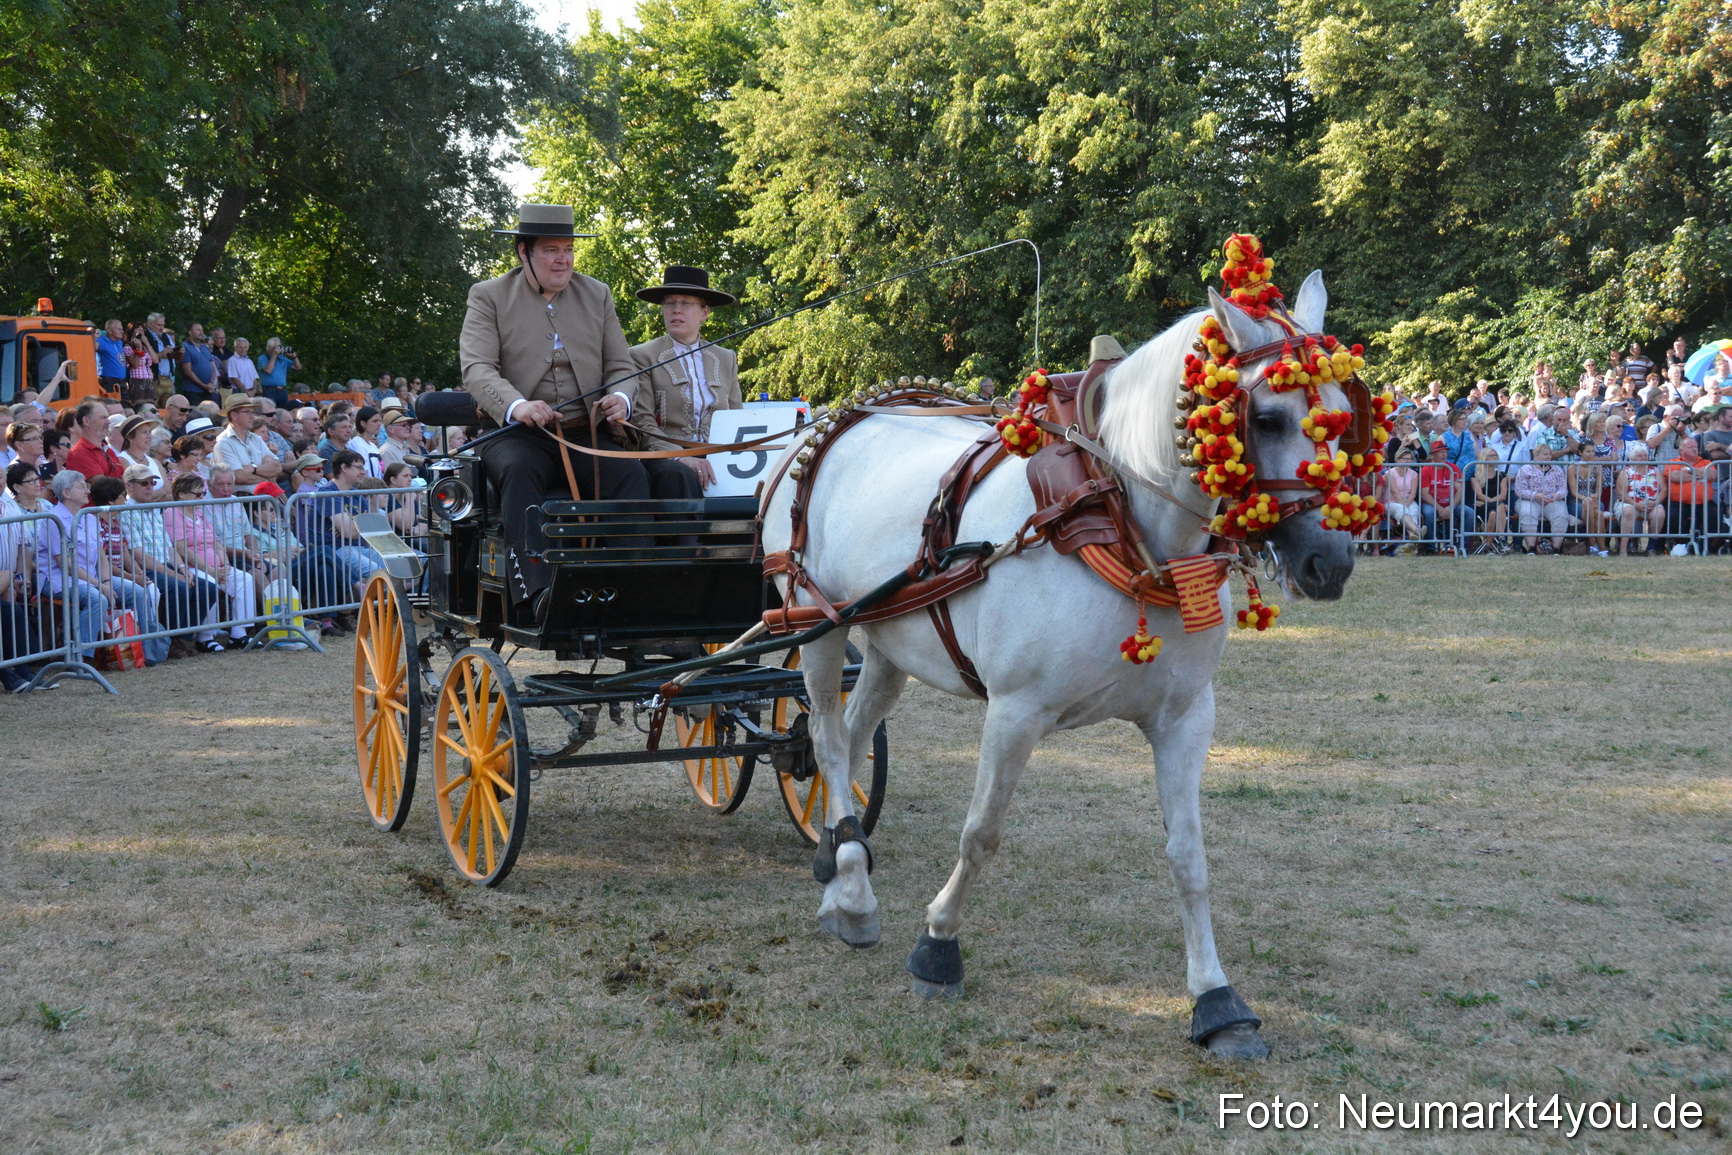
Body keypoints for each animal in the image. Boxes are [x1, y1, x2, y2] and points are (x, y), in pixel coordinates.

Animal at [759, 271, 1359, 1059]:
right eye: (1264, 417)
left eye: (1345, 416)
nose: (1331, 561)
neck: (1116, 518)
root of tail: (826, 425)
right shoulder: (1016, 712)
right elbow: (981, 832)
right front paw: (938, 947)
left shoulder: (1186, 717)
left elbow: (1189, 856)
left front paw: (1217, 998)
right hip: (818, 623)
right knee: (827, 739)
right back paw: (855, 894)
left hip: (889, 643)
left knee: (854, 738)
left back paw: (837, 859)